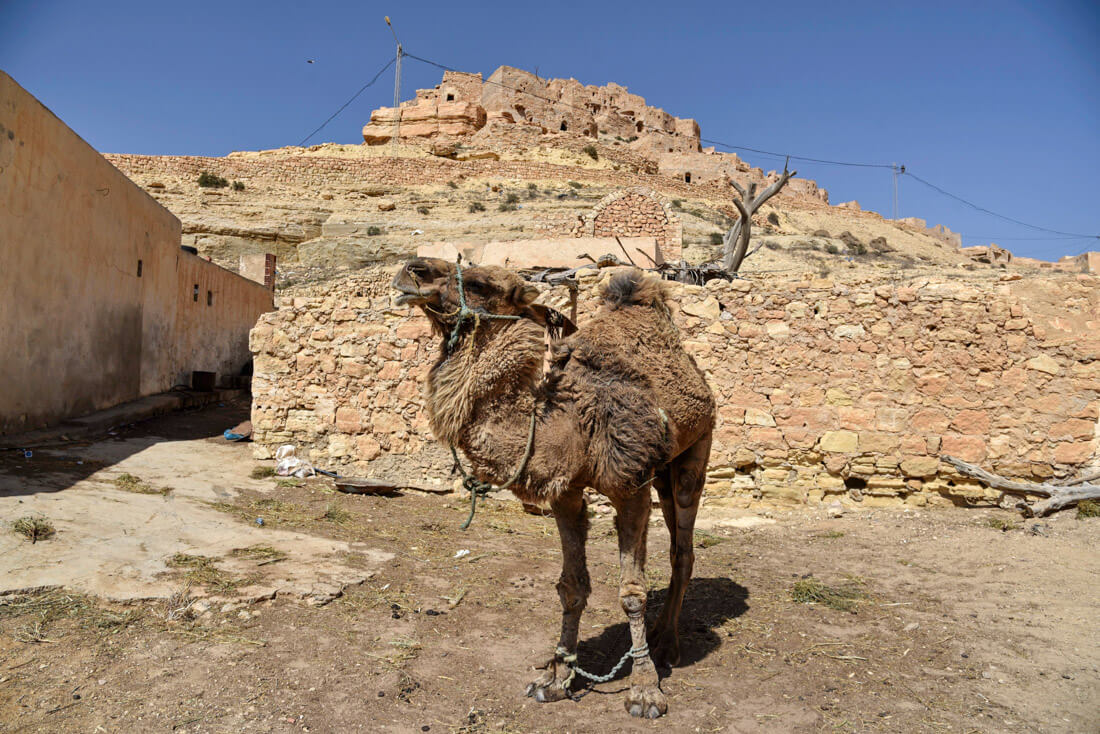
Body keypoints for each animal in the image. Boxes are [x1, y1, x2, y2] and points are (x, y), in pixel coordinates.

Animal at [391, 258, 717, 717]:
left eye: (480, 282)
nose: (411, 270)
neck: (565, 423)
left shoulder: (629, 486)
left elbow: (631, 593)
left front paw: (645, 692)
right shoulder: (567, 493)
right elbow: (571, 587)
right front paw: (557, 677)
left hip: (695, 449)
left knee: (681, 550)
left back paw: (667, 644)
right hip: (662, 468)